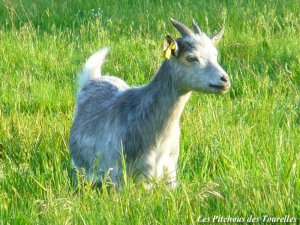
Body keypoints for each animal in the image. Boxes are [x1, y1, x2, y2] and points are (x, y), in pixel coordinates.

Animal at [69, 18, 231, 188]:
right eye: (191, 58)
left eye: (215, 55)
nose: (225, 80)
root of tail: (92, 79)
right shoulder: (123, 176)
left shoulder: (170, 172)